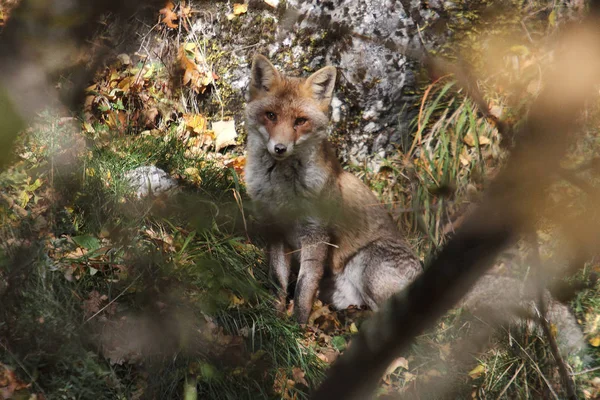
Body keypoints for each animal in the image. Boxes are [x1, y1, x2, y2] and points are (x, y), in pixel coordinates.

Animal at [243, 54, 580, 354]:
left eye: (300, 121)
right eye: (271, 116)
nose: (279, 148)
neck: (281, 188)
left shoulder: (316, 234)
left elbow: (302, 290)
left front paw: (297, 329)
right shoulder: (275, 230)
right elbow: (278, 280)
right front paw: (274, 315)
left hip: (367, 264)